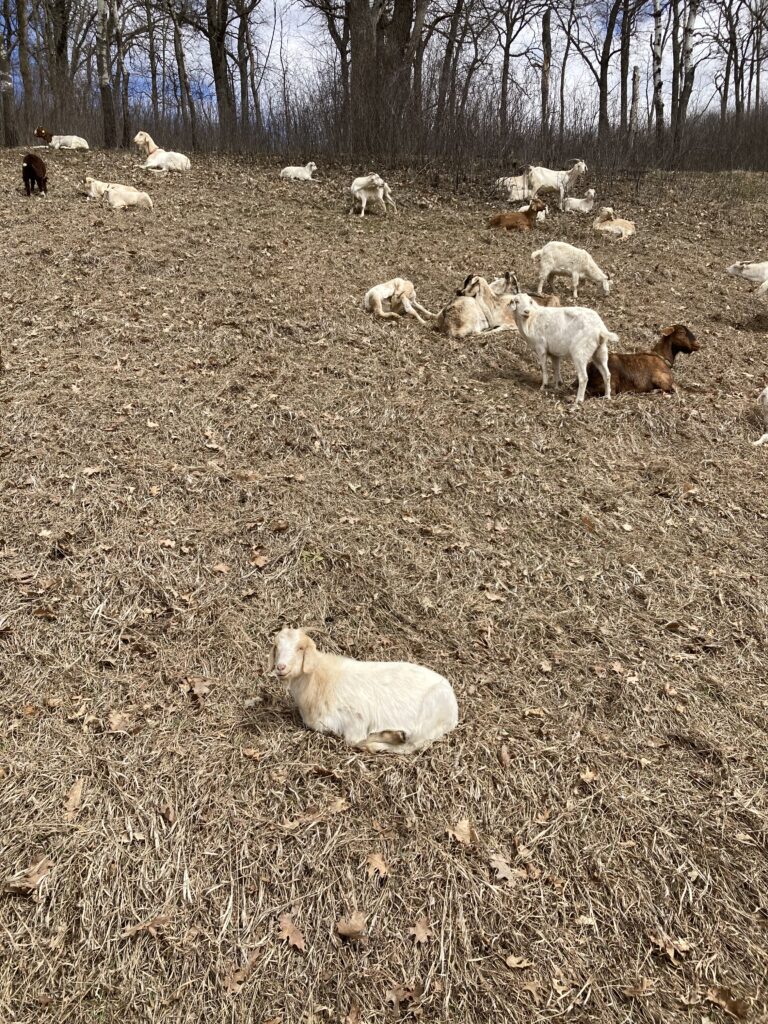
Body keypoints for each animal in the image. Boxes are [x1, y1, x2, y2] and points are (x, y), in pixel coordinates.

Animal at [268, 622, 456, 753]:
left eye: (300, 648)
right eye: (276, 647)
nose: (280, 667)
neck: (321, 679)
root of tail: (454, 710)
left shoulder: (356, 716)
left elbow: (354, 740)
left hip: (426, 723)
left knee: (409, 747)